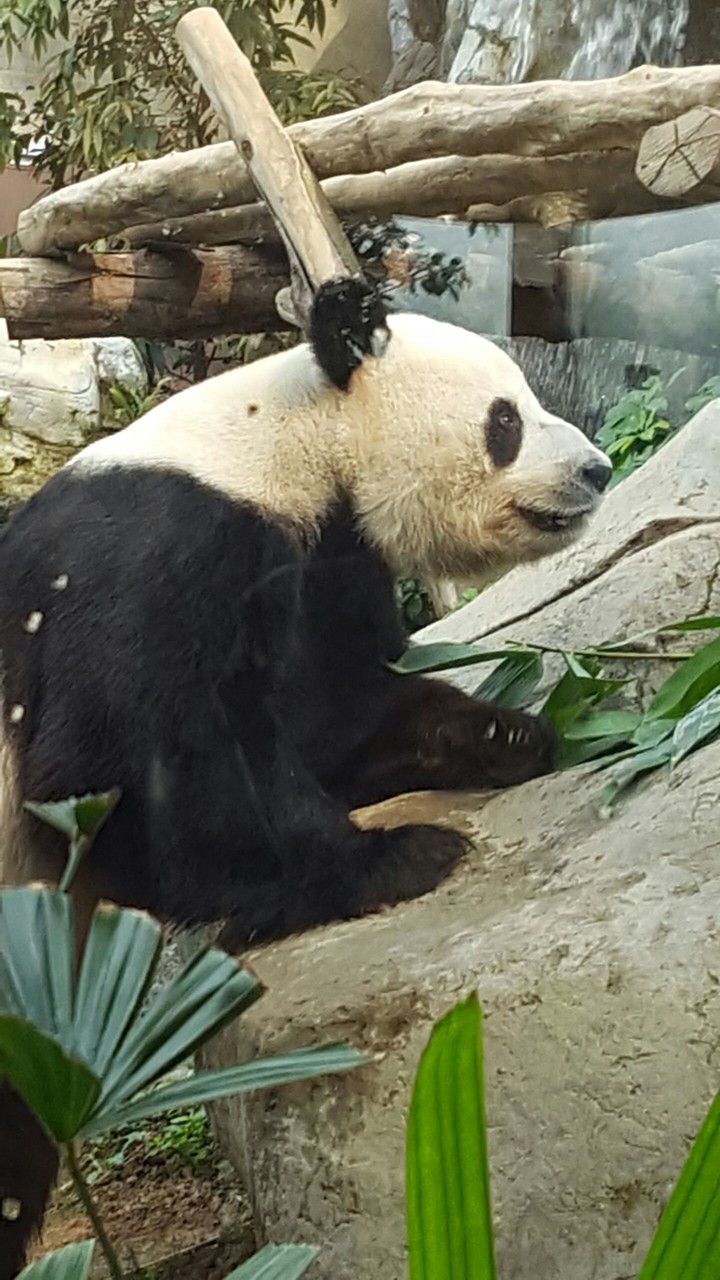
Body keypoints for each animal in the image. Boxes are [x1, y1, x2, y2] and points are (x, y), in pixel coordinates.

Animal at [0, 279, 610, 1276]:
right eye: (506, 419)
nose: (595, 472)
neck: (285, 441)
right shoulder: (149, 560)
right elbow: (121, 779)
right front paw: (395, 856)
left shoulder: (317, 559)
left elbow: (330, 713)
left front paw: (502, 732)